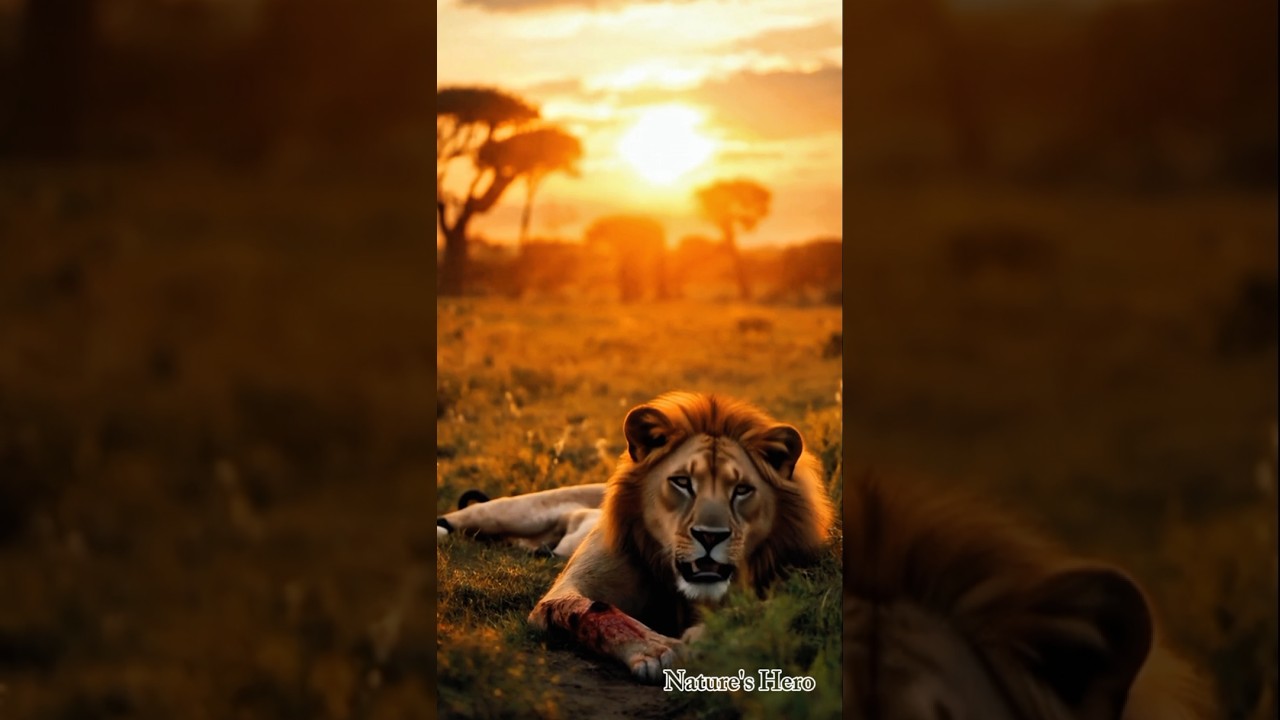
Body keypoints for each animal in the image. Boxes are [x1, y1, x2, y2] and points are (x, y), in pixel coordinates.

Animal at [436, 392, 836, 683]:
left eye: (741, 490)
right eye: (682, 482)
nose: (710, 536)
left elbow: (753, 614)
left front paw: (708, 638)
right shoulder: (566, 592)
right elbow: (590, 609)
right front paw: (656, 649)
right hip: (513, 511)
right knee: (456, 519)